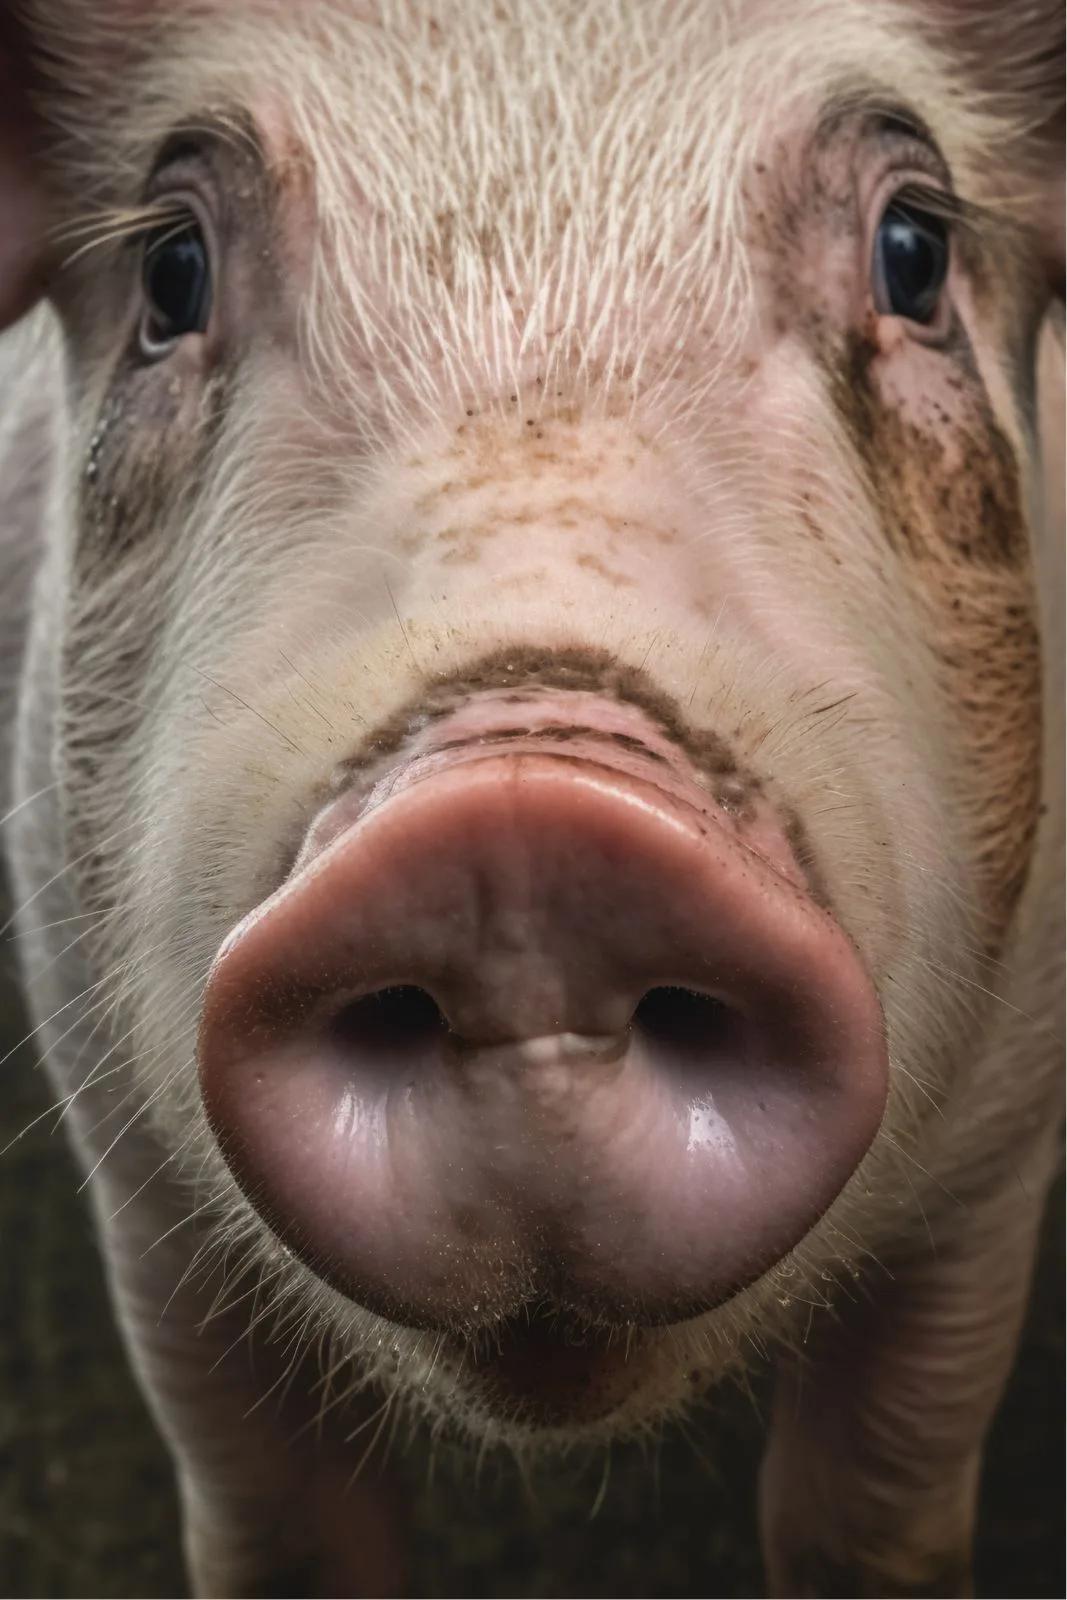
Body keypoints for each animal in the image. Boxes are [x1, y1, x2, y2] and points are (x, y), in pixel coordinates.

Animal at [0, 0, 1063, 1594]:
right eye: (171, 271)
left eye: (913, 251)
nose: (519, 829)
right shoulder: (133, 1170)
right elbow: (279, 1531)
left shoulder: (994, 1158)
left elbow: (866, 1511)